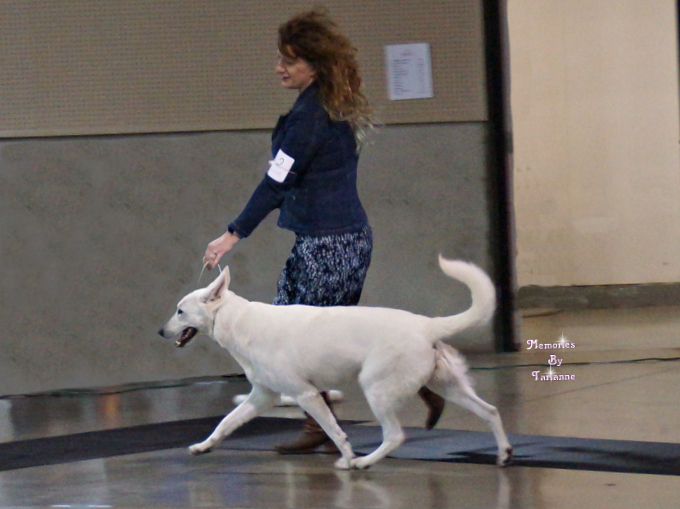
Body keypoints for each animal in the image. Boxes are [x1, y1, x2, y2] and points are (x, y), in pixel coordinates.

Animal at [159, 256, 510, 470]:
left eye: (179, 311)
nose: (160, 332)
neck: (237, 321)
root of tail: (428, 325)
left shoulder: (306, 395)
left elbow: (334, 430)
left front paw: (347, 457)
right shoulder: (261, 397)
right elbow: (225, 423)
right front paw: (203, 446)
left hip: (376, 391)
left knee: (394, 436)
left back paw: (363, 462)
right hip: (449, 387)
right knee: (491, 411)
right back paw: (505, 453)